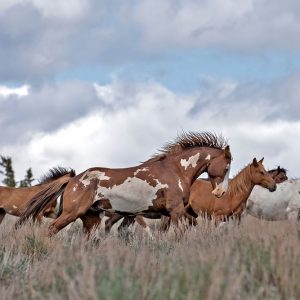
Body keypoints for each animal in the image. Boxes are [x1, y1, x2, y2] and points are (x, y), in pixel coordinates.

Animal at [17, 132, 232, 237]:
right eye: (227, 165)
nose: (221, 192)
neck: (176, 170)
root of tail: (74, 179)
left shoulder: (173, 213)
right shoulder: (176, 211)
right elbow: (181, 233)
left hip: (91, 218)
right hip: (72, 213)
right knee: (51, 229)